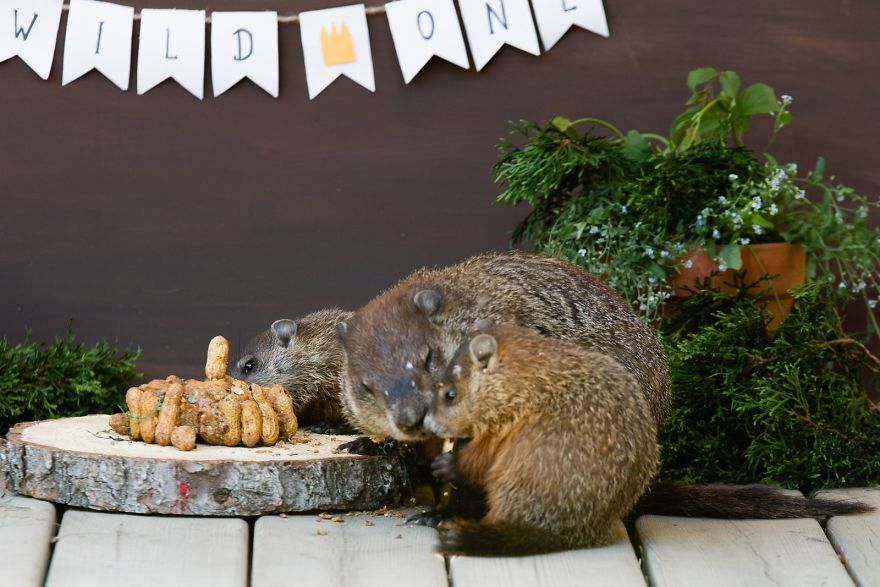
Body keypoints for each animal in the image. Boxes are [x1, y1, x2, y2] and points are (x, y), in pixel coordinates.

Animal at [423, 325, 873, 557]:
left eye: (450, 393)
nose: (425, 422)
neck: (521, 375)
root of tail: (582, 526)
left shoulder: (512, 418)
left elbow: (485, 453)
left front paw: (448, 464)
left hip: (528, 472)